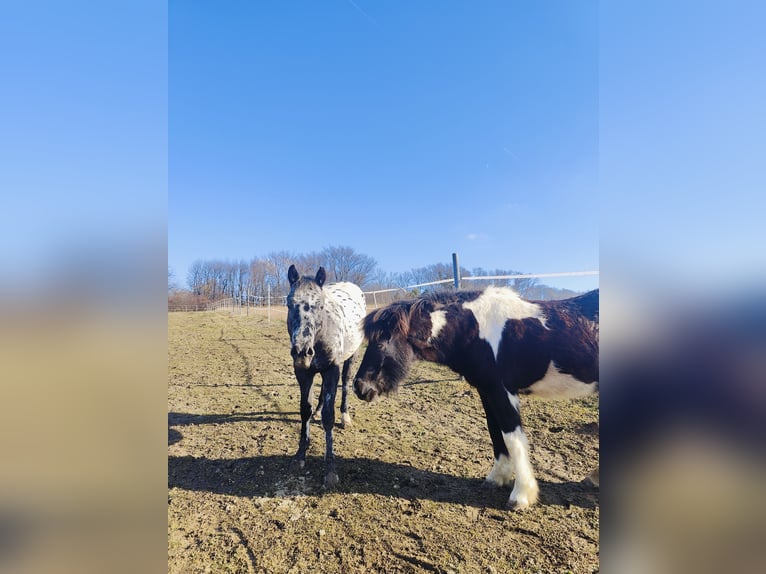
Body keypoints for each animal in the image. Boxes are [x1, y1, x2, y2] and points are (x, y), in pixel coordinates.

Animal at [286, 266, 368, 490]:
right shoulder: (303, 373)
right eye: (289, 303)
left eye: (320, 305)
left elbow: (329, 418)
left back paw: (345, 417)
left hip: (350, 358)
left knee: (346, 385)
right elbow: (304, 410)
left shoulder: (332, 369)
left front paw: (330, 469)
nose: (302, 351)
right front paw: (300, 455)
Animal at [354, 290, 600, 510]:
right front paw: (497, 478)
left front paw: (521, 496)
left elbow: (512, 438)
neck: (475, 331)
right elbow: (495, 432)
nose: (360, 387)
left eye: (382, 342)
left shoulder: (502, 391)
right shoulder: (487, 391)